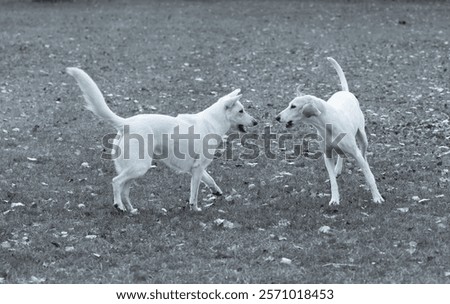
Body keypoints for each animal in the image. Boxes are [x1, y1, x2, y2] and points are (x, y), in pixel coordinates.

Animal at [66, 67, 256, 213]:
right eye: (241, 111)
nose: (256, 122)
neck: (212, 121)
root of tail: (127, 123)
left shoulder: (197, 168)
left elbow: (211, 180)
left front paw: (217, 192)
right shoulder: (197, 169)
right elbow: (194, 194)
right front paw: (195, 209)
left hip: (136, 170)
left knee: (124, 189)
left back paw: (131, 210)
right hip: (139, 167)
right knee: (116, 182)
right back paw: (118, 206)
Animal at [276, 57, 384, 204]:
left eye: (293, 106)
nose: (277, 117)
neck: (326, 124)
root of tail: (345, 91)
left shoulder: (356, 153)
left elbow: (369, 176)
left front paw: (377, 197)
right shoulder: (327, 155)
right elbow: (333, 181)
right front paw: (334, 199)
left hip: (362, 137)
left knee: (364, 155)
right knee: (341, 155)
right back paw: (338, 169)